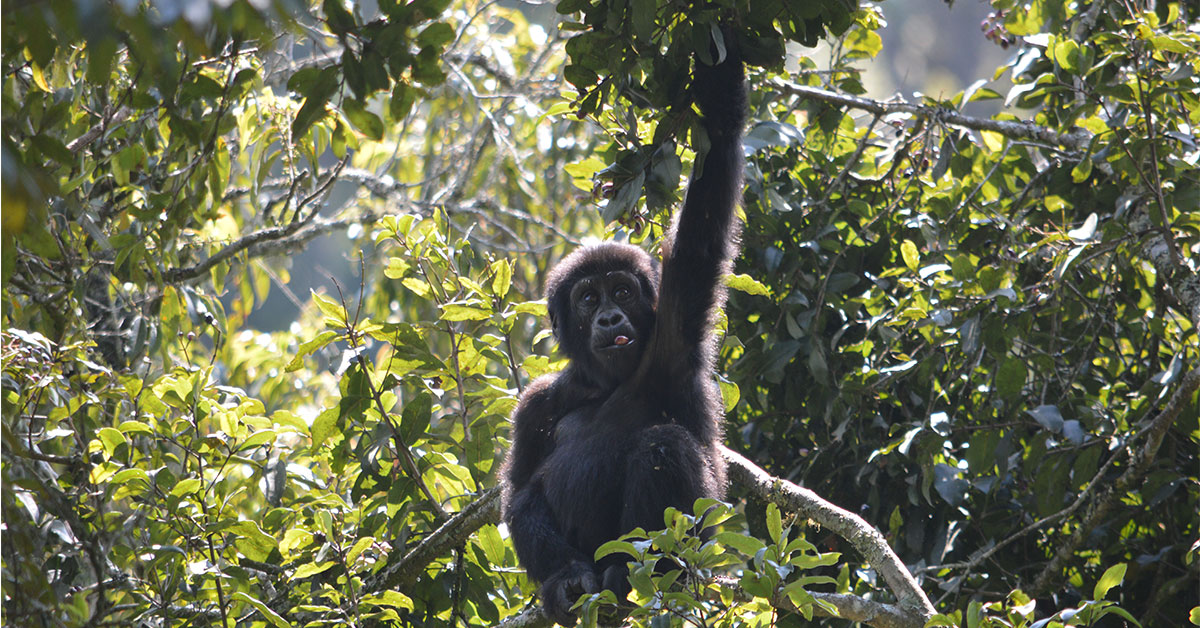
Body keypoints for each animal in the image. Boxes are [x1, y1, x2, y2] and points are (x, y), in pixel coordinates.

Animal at [499, 42, 744, 624]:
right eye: (589, 299)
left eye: (623, 292)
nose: (610, 319)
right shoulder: (537, 402)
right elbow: (519, 489)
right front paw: (564, 577)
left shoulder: (674, 334)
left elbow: (702, 223)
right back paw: (573, 581)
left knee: (662, 444)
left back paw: (635, 574)